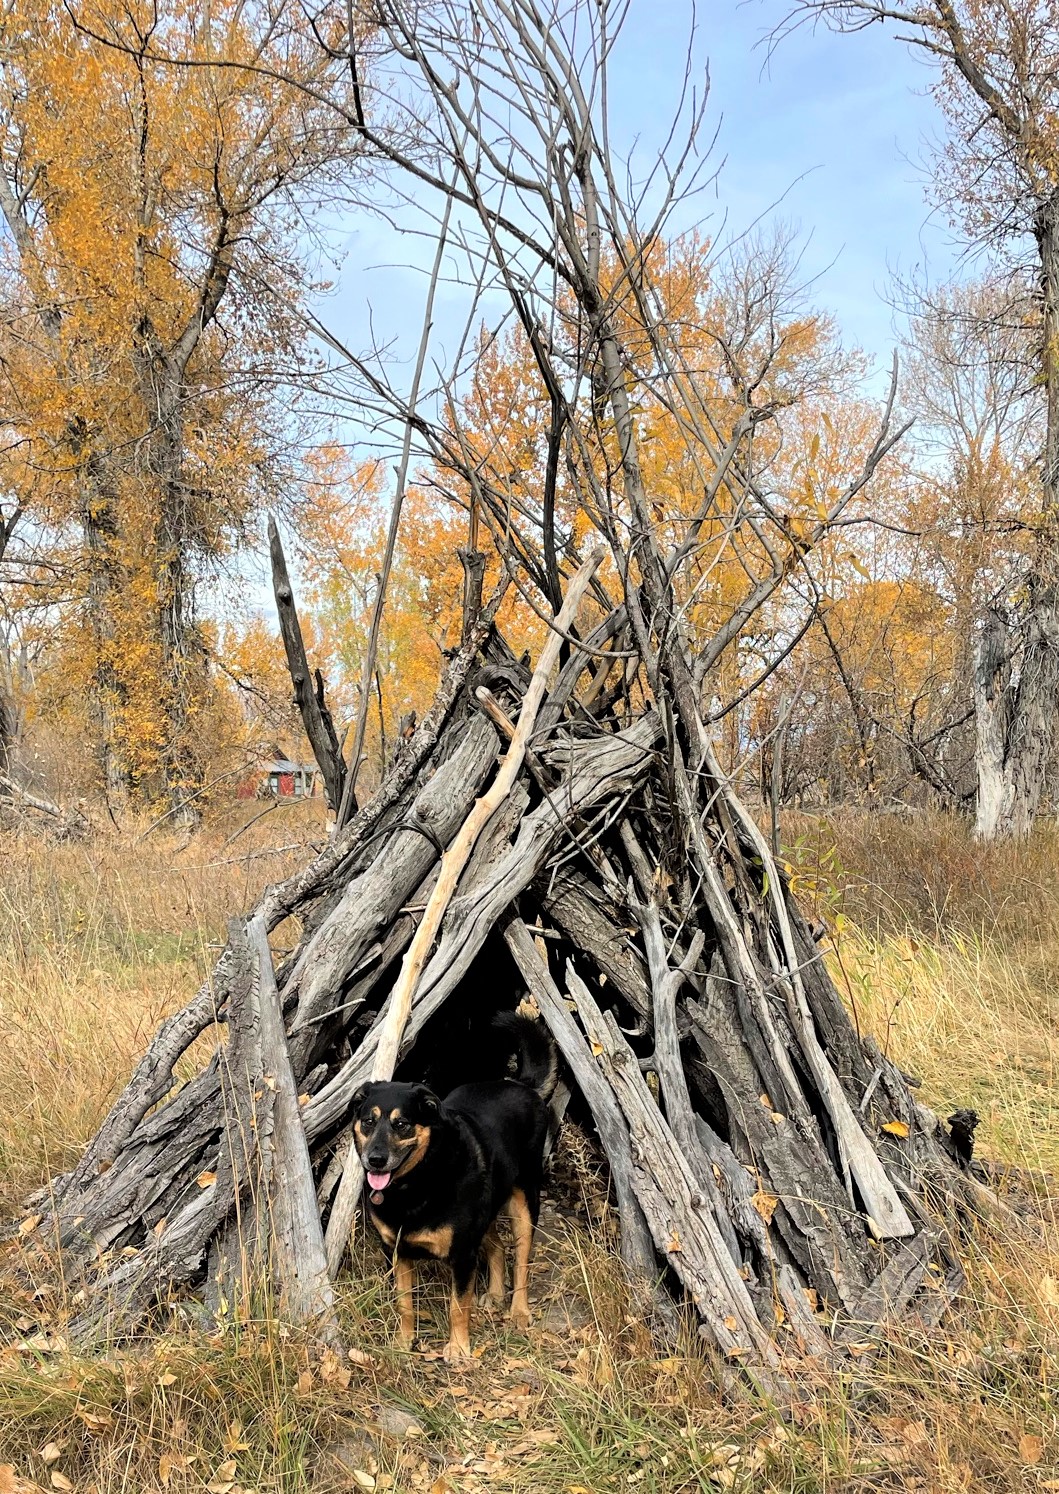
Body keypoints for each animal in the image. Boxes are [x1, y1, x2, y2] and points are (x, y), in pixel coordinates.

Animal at [351, 1015, 558, 1368]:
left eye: (402, 1124)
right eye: (368, 1121)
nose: (374, 1160)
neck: (415, 1183)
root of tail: (523, 1085)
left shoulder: (462, 1255)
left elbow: (458, 1307)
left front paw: (459, 1349)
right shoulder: (398, 1251)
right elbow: (405, 1305)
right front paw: (403, 1342)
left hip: (524, 1201)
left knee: (521, 1260)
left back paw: (518, 1311)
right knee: (497, 1246)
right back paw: (495, 1294)